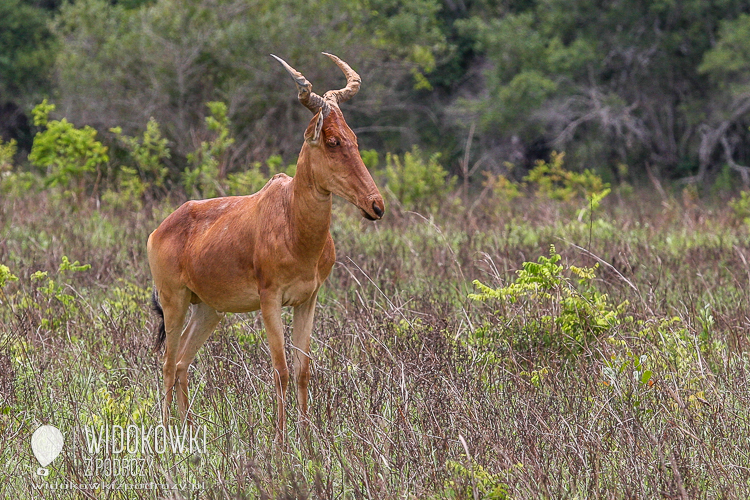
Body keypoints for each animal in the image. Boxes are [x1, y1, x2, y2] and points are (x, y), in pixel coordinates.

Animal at [149, 51, 384, 442]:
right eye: (332, 140)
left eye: (353, 137)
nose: (376, 206)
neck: (290, 219)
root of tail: (161, 228)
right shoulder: (269, 300)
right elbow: (281, 369)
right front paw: (281, 442)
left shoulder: (308, 300)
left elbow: (303, 369)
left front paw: (307, 441)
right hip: (174, 301)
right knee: (167, 364)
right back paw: (167, 437)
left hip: (209, 310)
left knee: (182, 362)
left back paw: (189, 433)